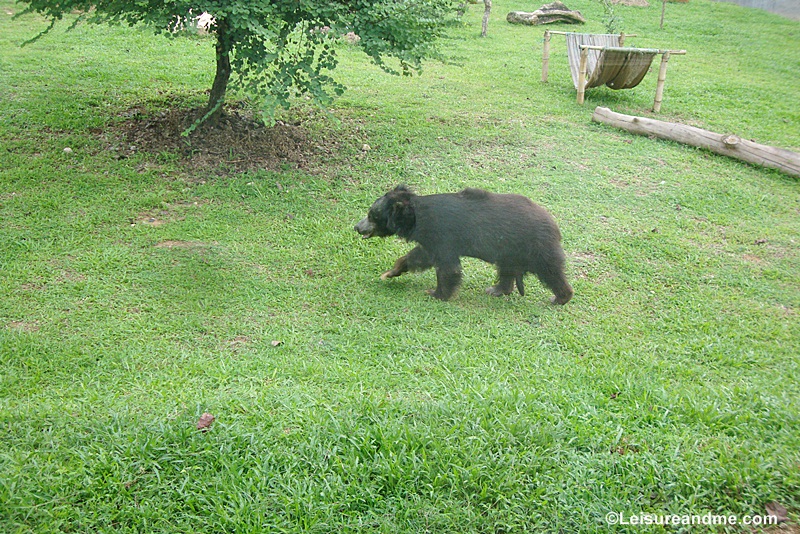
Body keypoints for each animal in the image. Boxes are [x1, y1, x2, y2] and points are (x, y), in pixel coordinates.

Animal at [354, 185, 572, 306]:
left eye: (371, 216)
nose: (357, 227)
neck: (417, 217)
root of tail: (554, 224)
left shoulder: (443, 236)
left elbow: (448, 268)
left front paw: (435, 294)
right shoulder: (431, 241)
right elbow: (419, 256)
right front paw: (390, 272)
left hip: (535, 246)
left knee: (551, 271)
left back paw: (560, 297)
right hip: (510, 251)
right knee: (506, 270)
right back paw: (496, 289)